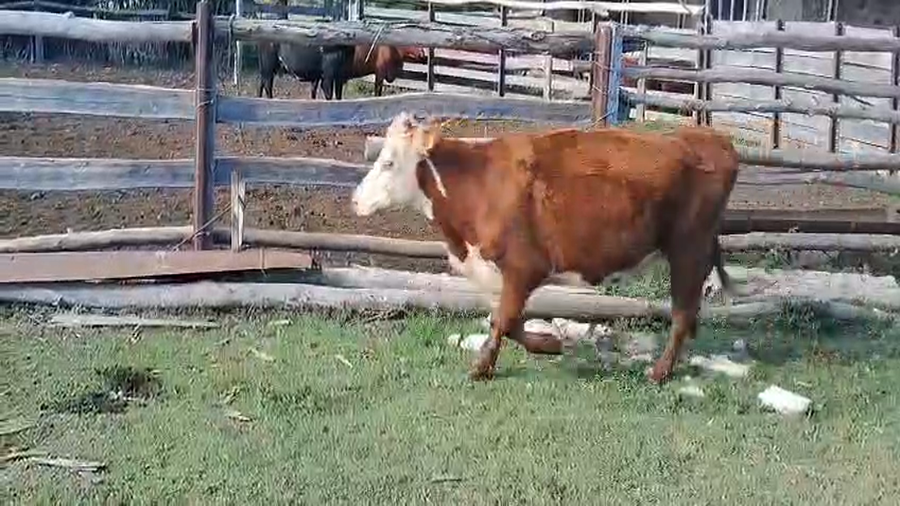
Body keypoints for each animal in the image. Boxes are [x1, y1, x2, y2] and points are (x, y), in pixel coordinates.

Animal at [351, 113, 740, 384]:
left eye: (388, 162)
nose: (355, 201)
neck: (478, 183)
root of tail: (708, 137)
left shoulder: (524, 266)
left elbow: (504, 320)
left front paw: (482, 367)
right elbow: (508, 320)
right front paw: (549, 345)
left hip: (688, 251)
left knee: (681, 315)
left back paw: (659, 372)